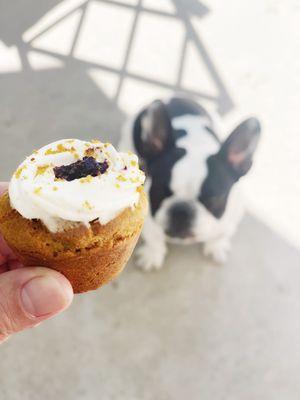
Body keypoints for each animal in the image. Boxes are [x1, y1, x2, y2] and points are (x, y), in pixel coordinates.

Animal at [119, 97, 260, 272]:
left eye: (214, 198)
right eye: (161, 190)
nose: (181, 211)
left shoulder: (230, 219)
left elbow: (221, 235)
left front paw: (216, 246)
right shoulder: (150, 221)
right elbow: (155, 239)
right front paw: (153, 254)